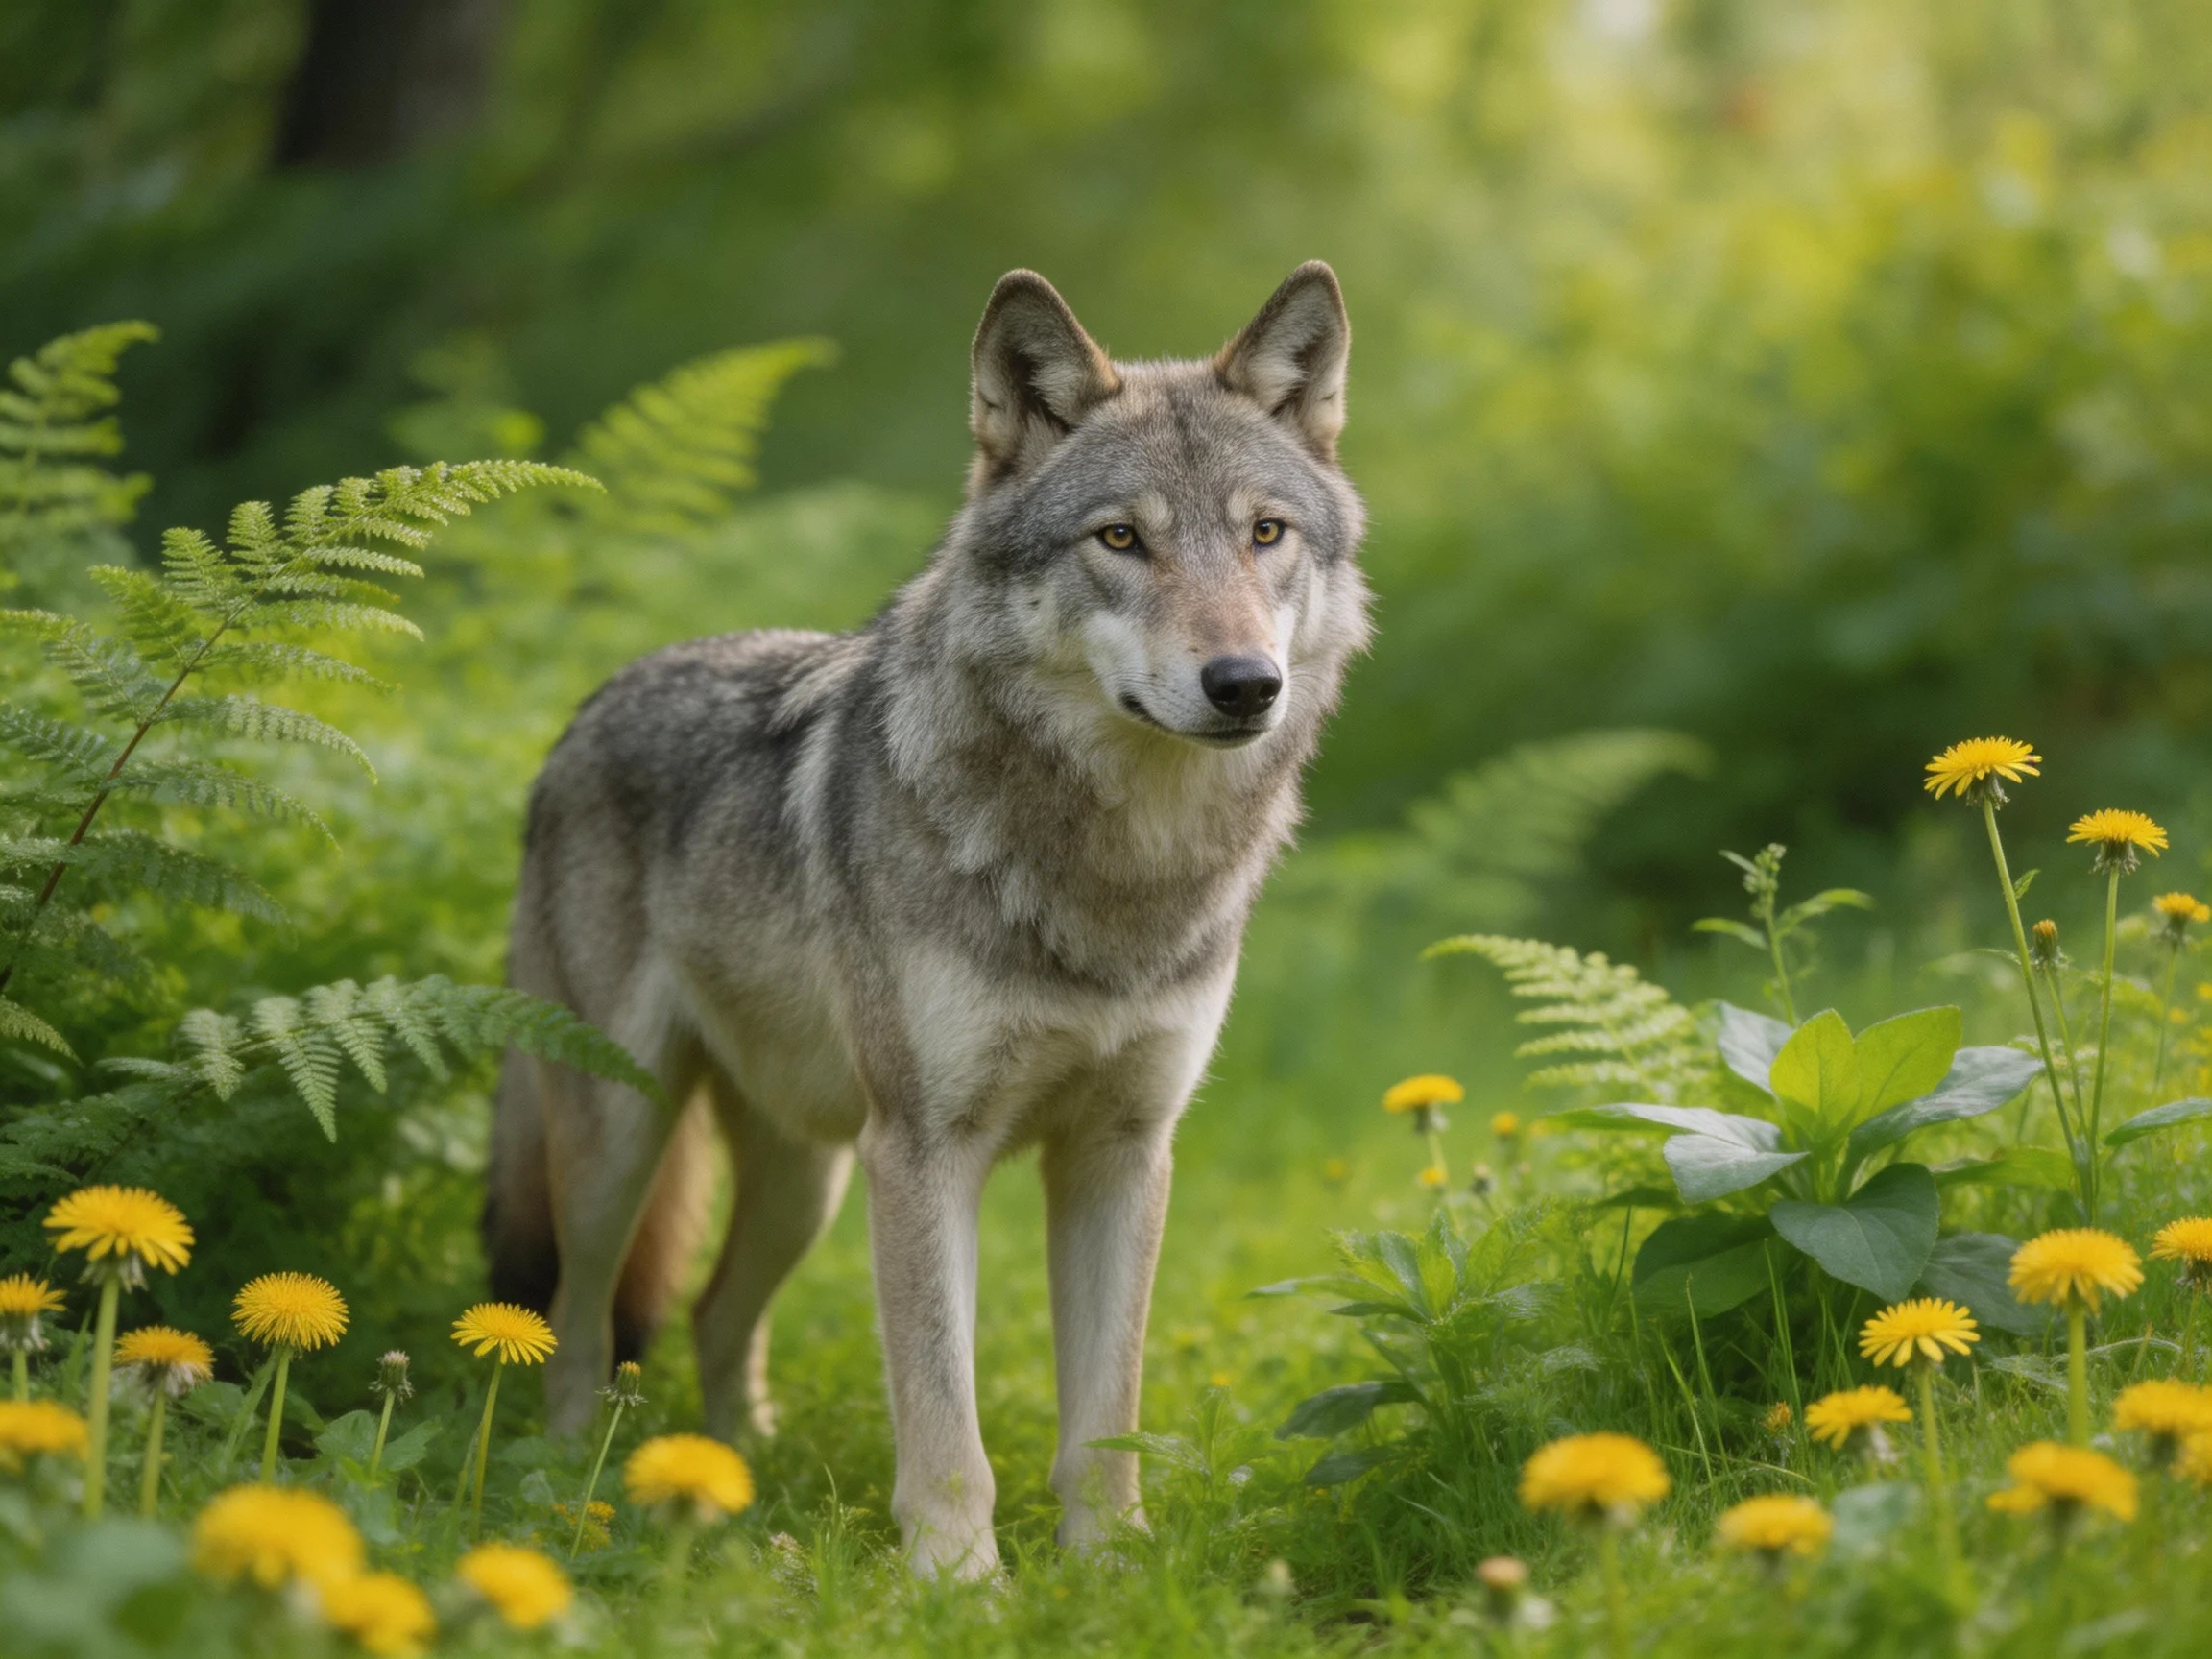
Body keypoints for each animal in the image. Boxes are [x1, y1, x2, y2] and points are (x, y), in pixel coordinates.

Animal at [483, 261, 1370, 1576]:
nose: (1245, 685)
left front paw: (1109, 1570)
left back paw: (734, 1473)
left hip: (806, 1183)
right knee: (577, 1317)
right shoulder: (924, 1152)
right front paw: (959, 1582)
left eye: (1267, 533)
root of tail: (589, 708)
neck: (1116, 874)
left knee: (714, 1315)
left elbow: (1106, 1414)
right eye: (1121, 539)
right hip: (621, 1144)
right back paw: (567, 1485)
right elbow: (945, 1416)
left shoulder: (1123, 1153)